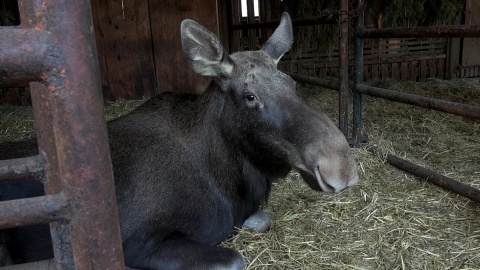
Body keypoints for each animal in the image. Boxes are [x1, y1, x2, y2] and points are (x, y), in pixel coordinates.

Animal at [0, 12, 358, 270]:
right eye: (250, 96)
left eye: (293, 84)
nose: (340, 166)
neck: (229, 179)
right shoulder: (136, 243)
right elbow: (233, 258)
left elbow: (261, 219)